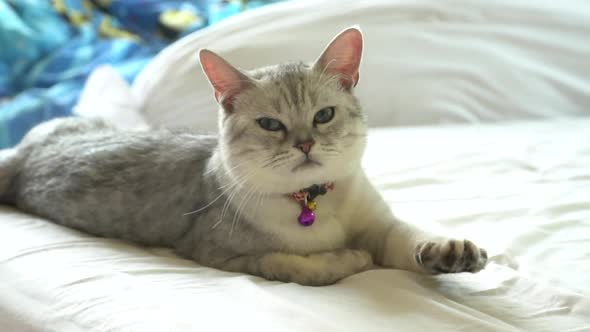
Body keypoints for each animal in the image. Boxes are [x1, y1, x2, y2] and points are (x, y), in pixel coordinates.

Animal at [0, 26, 488, 286]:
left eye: (324, 115)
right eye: (270, 124)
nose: (305, 143)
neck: (316, 201)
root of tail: (23, 152)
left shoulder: (380, 225)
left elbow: (408, 238)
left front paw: (449, 251)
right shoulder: (217, 252)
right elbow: (303, 266)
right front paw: (350, 259)